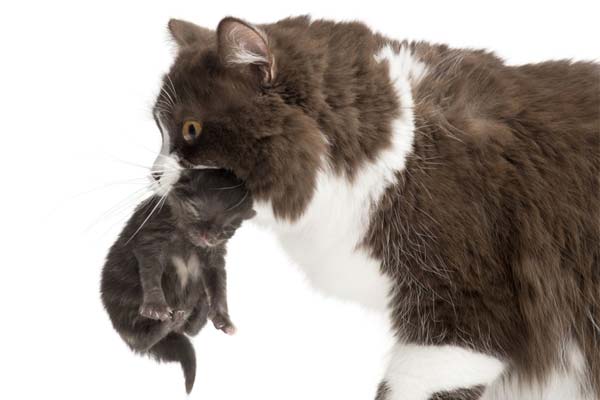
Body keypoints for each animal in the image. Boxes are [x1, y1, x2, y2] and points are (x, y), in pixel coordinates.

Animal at [101, 169, 255, 394]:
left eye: (228, 227)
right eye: (196, 209)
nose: (208, 235)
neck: (187, 240)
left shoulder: (215, 256)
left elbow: (219, 285)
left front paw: (223, 319)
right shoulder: (151, 237)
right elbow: (151, 273)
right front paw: (156, 306)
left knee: (190, 330)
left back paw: (198, 308)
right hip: (124, 313)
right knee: (141, 341)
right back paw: (165, 322)